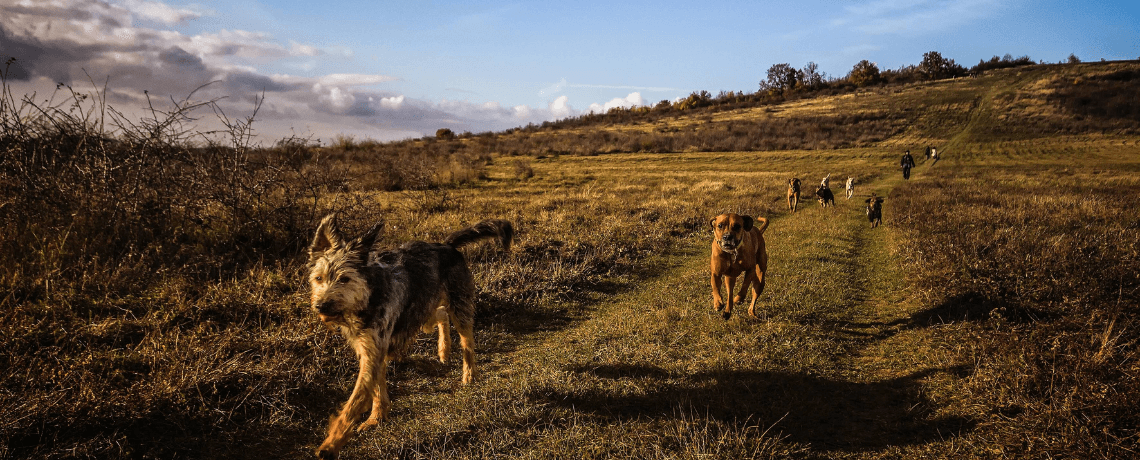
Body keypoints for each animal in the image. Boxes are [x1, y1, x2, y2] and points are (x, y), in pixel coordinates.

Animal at [307, 215, 513, 455]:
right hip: (423, 311)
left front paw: (330, 444)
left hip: (458, 305)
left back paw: (469, 374)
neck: (368, 296)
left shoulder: (374, 350)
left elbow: (354, 402)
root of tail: (446, 245)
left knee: (467, 340)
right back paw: (443, 350)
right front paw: (377, 417)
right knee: (441, 314)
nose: (321, 305)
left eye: (344, 279)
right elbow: (376, 388)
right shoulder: (369, 348)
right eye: (318, 278)